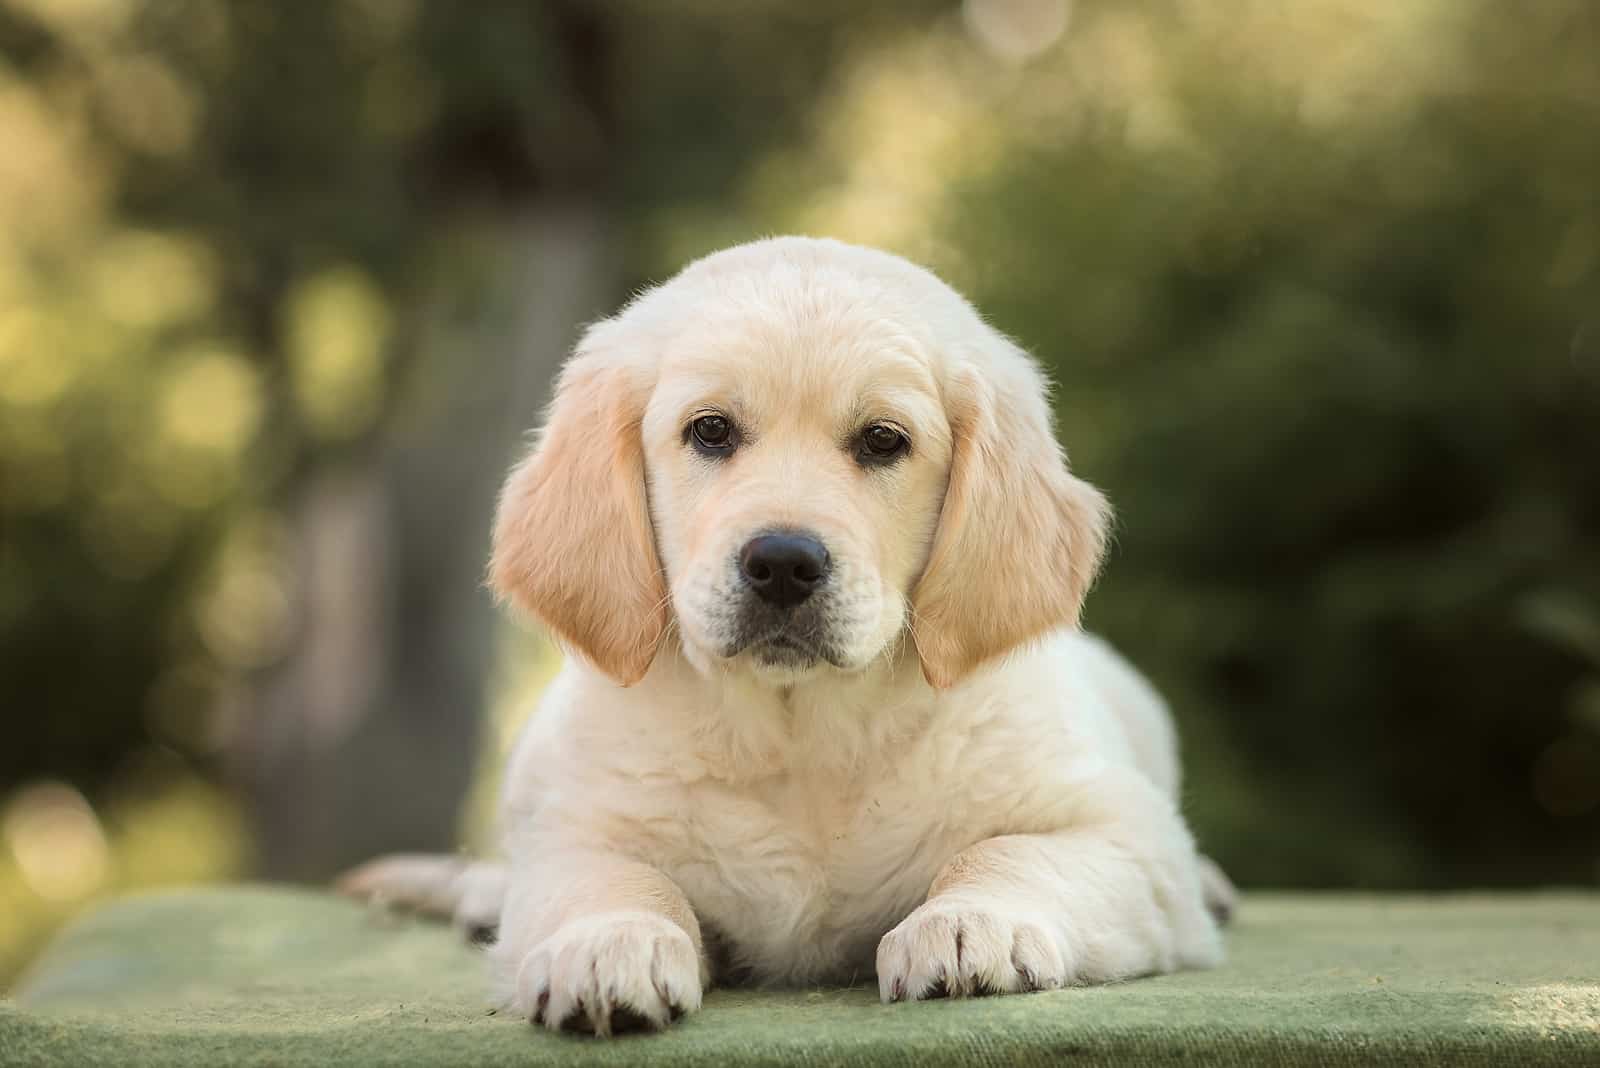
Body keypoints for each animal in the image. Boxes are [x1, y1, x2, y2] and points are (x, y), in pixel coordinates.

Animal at [340, 235, 1235, 1036]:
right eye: (710, 431)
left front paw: (968, 924)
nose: (782, 563)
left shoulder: (1124, 833)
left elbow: (1009, 852)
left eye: (883, 440)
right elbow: (613, 880)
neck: (801, 732)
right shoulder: (579, 828)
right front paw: (607, 945)